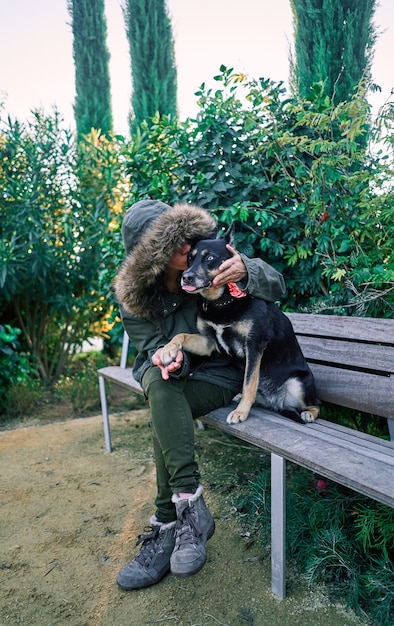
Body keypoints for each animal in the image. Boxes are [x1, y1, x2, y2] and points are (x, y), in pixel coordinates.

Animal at [162, 224, 318, 424]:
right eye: (190, 258)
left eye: (210, 258)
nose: (185, 277)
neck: (221, 301)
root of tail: (277, 403)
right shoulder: (209, 342)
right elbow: (180, 335)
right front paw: (167, 350)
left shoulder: (254, 345)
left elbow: (249, 384)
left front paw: (241, 412)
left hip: (299, 383)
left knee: (315, 405)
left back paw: (308, 413)